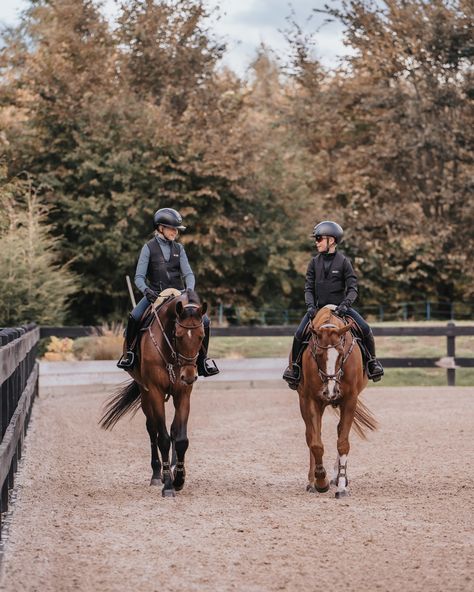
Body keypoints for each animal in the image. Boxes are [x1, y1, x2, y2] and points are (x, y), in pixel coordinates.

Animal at [100, 290, 206, 498]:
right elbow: (162, 439)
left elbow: (180, 438)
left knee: (172, 430)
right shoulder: (155, 391)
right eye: (178, 335)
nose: (189, 376)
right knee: (152, 429)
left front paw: (179, 479)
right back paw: (158, 474)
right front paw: (168, 485)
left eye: (201, 336)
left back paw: (171, 468)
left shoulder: (183, 393)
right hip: (145, 393)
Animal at [298, 302, 376, 498]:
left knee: (340, 431)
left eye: (341, 354)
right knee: (311, 435)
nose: (331, 391)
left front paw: (341, 485)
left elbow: (343, 443)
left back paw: (339, 477)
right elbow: (316, 443)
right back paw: (312, 481)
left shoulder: (350, 400)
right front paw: (320, 481)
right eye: (318, 354)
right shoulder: (311, 400)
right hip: (304, 401)